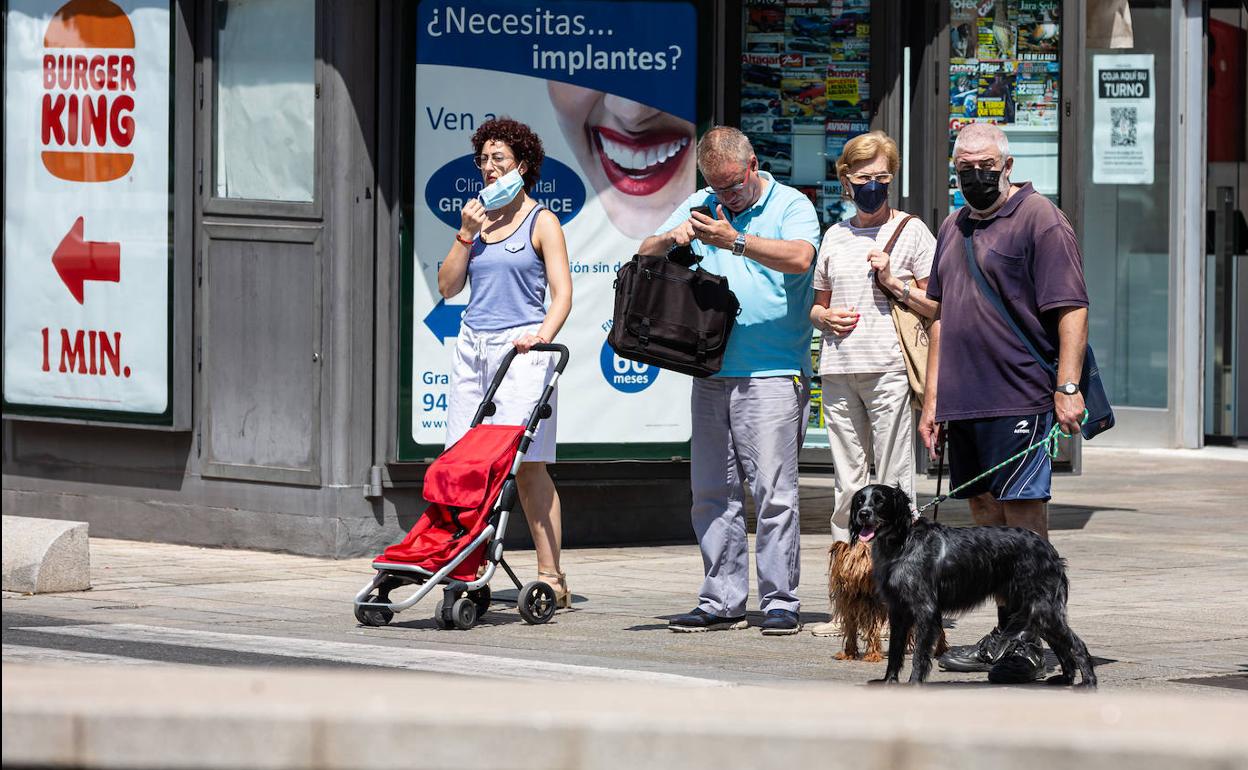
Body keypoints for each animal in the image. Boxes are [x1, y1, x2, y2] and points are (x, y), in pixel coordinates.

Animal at [853, 484, 1098, 688]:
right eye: (860, 500)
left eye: (880, 500)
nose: (863, 514)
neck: (901, 543)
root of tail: (1049, 550)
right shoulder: (898, 611)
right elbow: (895, 652)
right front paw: (888, 681)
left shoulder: (925, 611)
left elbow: (920, 656)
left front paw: (913, 684)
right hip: (1036, 610)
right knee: (1062, 646)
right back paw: (1065, 679)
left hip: (1042, 608)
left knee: (1077, 645)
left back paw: (1088, 682)